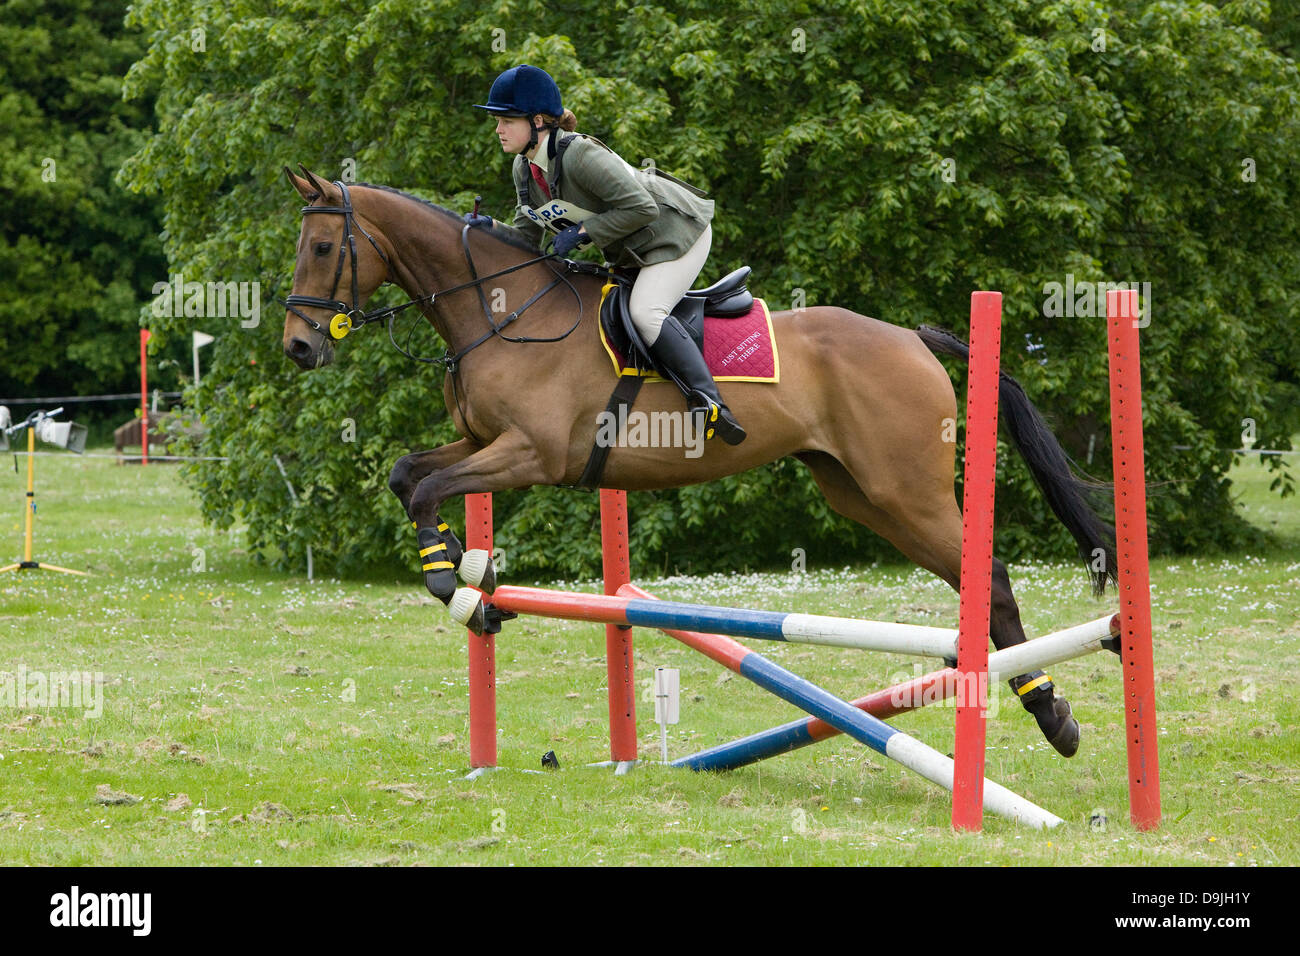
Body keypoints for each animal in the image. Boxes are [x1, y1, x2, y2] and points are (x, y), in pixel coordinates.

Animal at [282, 166, 1118, 764]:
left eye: (322, 249)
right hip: (862, 494)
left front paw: (456, 585)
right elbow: (409, 474)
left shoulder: (531, 452)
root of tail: (913, 338)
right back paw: (1044, 705)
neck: (500, 309)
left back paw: (1053, 715)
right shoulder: (484, 442)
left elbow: (428, 486)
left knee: (992, 576)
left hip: (906, 491)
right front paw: (470, 575)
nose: (298, 347)